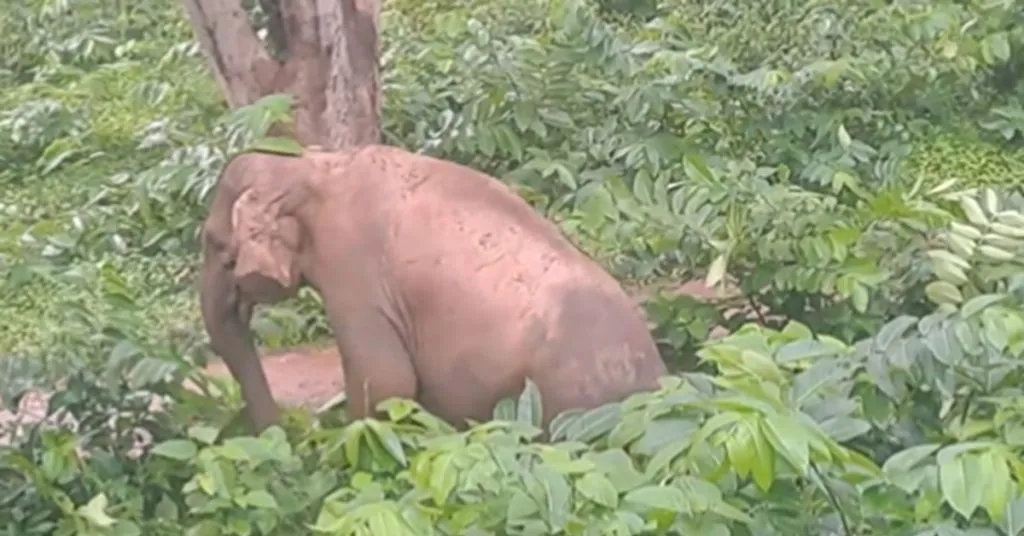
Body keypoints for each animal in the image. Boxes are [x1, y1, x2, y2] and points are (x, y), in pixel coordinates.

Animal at [199, 144, 668, 433]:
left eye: (215, 244)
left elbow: (385, 380)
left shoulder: (352, 269)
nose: (292, 437)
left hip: (567, 403)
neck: (316, 165)